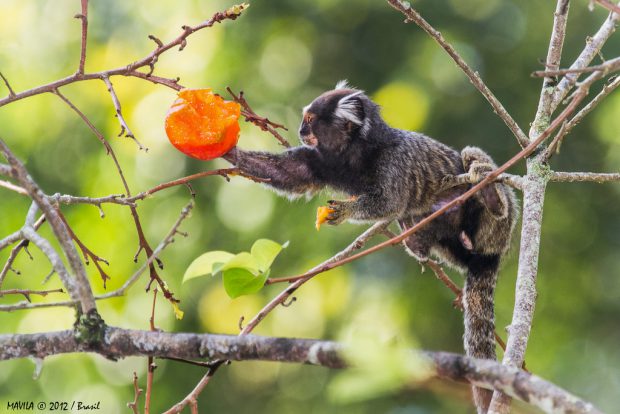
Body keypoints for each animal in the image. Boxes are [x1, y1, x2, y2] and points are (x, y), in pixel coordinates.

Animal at [223, 81, 520, 410]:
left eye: (311, 119)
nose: (301, 130)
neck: (356, 152)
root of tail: (489, 254)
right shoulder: (321, 161)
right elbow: (288, 173)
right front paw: (228, 150)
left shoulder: (396, 162)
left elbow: (388, 201)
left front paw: (345, 210)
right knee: (415, 218)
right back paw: (416, 243)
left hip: (498, 228)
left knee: (472, 160)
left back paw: (490, 194)